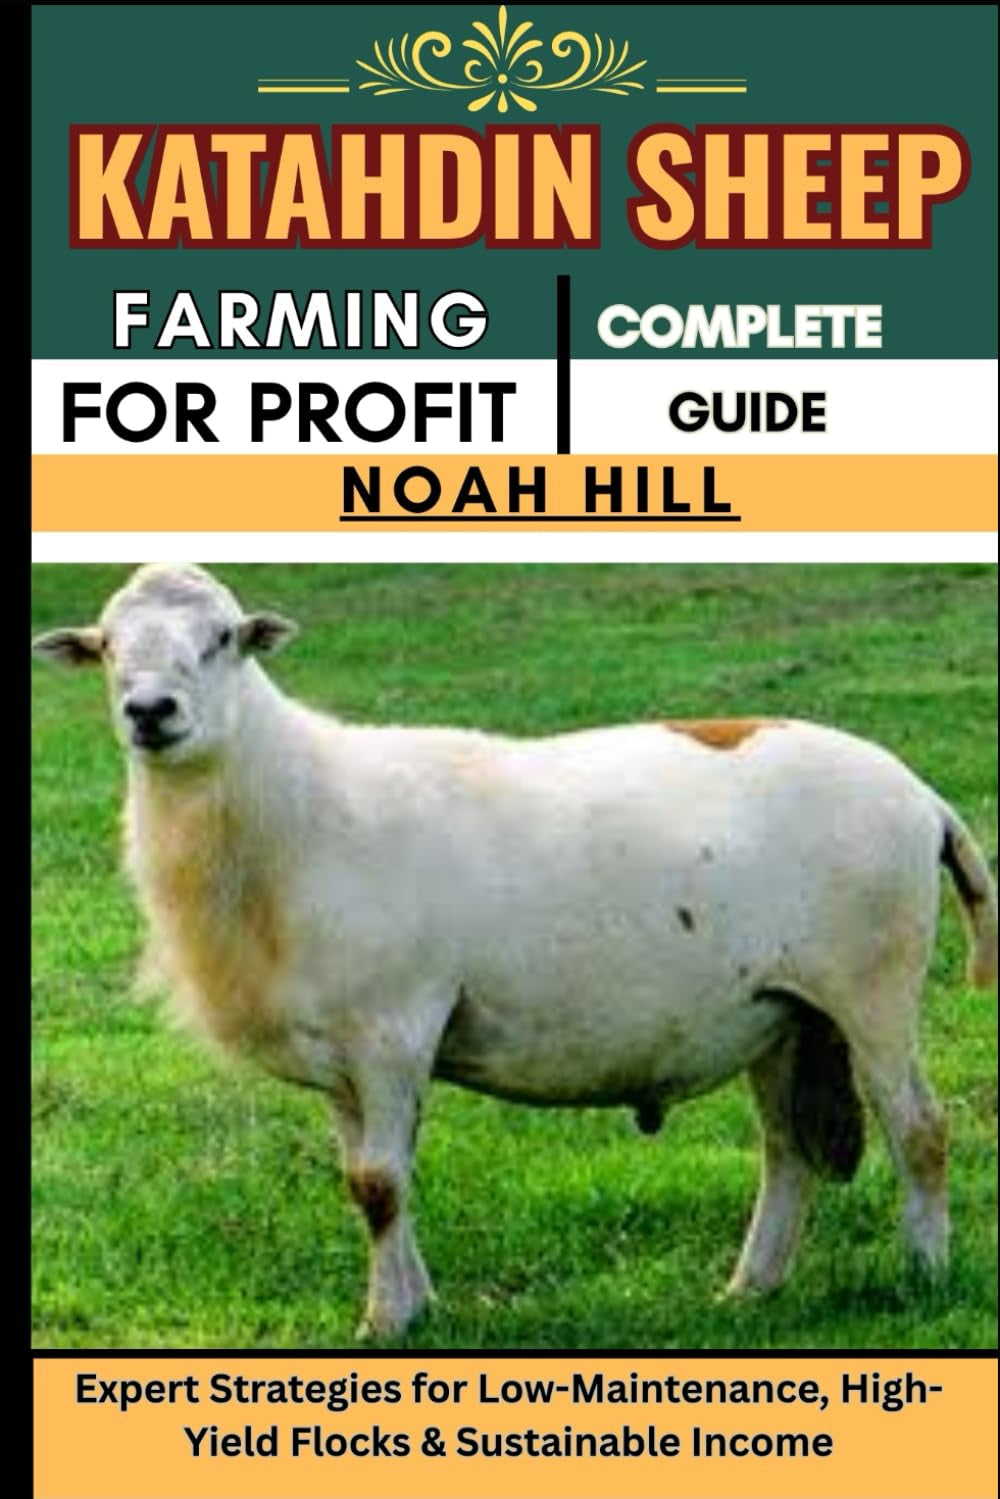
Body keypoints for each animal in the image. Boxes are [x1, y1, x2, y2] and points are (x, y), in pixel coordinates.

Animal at [34, 563, 997, 1339]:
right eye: (109, 645)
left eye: (222, 639)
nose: (149, 712)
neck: (292, 808)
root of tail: (922, 796)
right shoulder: (343, 1053)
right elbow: (369, 1182)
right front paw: (415, 1305)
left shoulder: (394, 1025)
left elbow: (379, 1184)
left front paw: (384, 1323)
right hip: (781, 1012)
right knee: (789, 1148)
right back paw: (749, 1289)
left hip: (874, 988)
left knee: (921, 1129)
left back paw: (923, 1273)